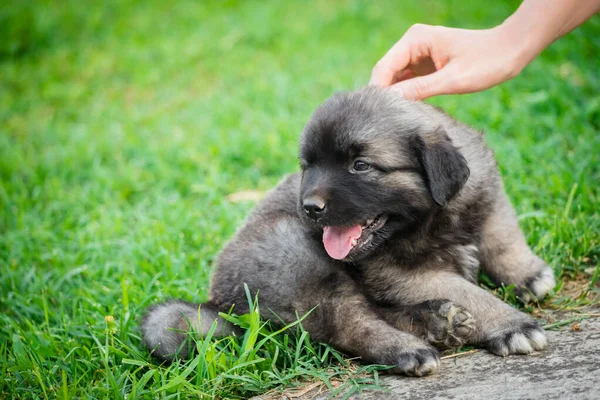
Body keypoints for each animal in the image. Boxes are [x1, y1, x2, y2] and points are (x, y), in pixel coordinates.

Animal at [143, 86, 556, 376]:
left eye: (361, 165)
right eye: (308, 166)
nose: (309, 207)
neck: (435, 219)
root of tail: (219, 304)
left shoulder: (487, 199)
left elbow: (502, 238)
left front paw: (527, 274)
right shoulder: (402, 274)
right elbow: (470, 292)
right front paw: (511, 324)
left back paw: (438, 321)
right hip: (300, 260)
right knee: (352, 324)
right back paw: (409, 348)